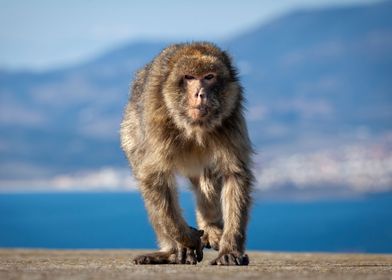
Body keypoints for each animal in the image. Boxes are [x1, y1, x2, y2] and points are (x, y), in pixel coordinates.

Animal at [121, 41, 253, 264]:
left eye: (209, 77)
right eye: (189, 77)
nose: (200, 93)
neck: (194, 127)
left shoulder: (230, 119)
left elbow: (233, 174)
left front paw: (230, 250)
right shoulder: (157, 119)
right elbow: (153, 177)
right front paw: (187, 239)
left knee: (207, 179)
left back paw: (211, 227)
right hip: (131, 131)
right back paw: (170, 252)